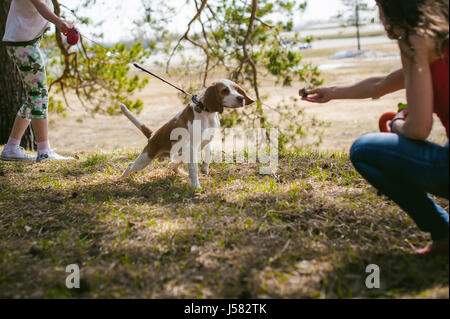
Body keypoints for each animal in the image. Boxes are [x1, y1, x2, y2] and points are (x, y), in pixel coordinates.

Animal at [118, 80, 253, 190]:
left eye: (236, 88)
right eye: (224, 91)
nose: (241, 98)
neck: (206, 113)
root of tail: (152, 135)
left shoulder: (207, 140)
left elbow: (208, 154)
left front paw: (204, 167)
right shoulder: (192, 147)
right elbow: (194, 169)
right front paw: (196, 186)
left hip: (180, 155)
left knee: (172, 165)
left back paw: (183, 173)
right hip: (145, 159)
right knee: (130, 165)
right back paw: (122, 178)